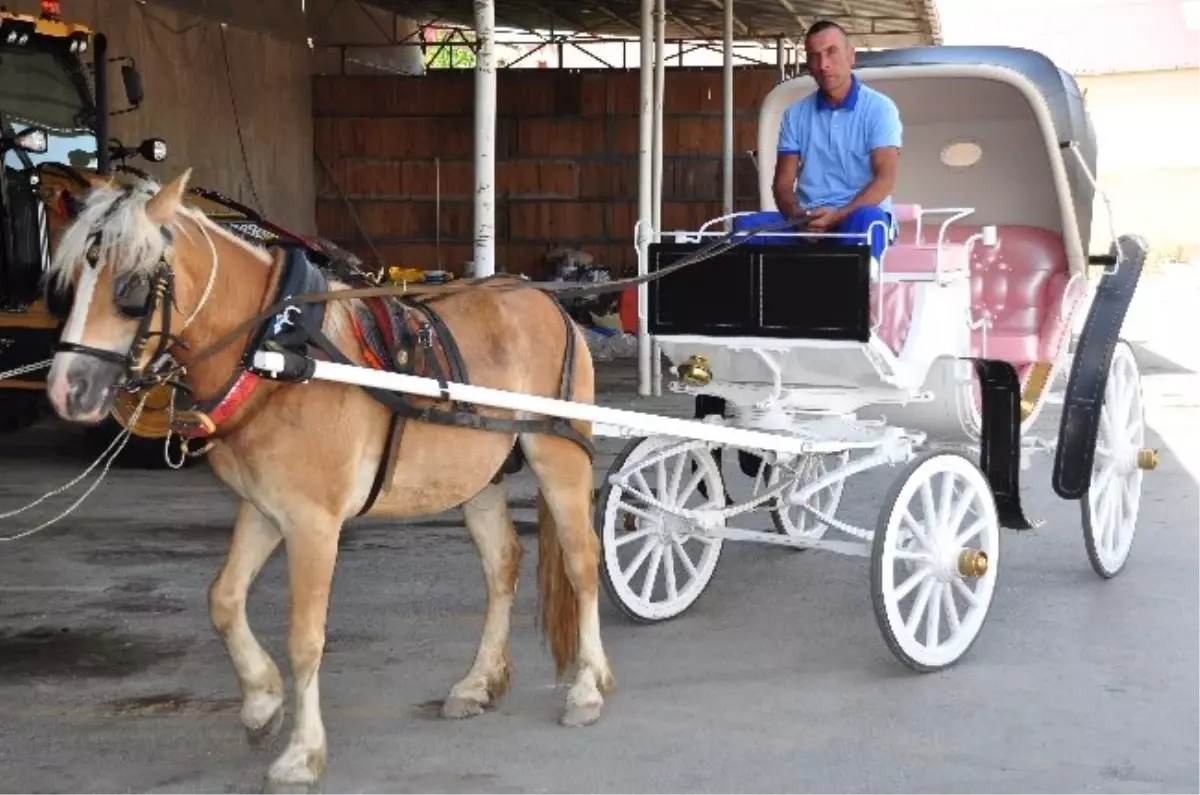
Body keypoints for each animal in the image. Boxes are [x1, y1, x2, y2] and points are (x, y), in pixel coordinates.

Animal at [42, 169, 614, 792]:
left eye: (132, 285)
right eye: (69, 283)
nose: (67, 390)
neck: (278, 355)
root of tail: (546, 302)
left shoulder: (313, 524)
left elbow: (305, 638)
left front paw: (301, 754)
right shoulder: (263, 508)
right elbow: (223, 599)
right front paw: (262, 703)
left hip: (559, 455)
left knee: (583, 562)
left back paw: (588, 688)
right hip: (478, 474)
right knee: (502, 565)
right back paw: (478, 682)